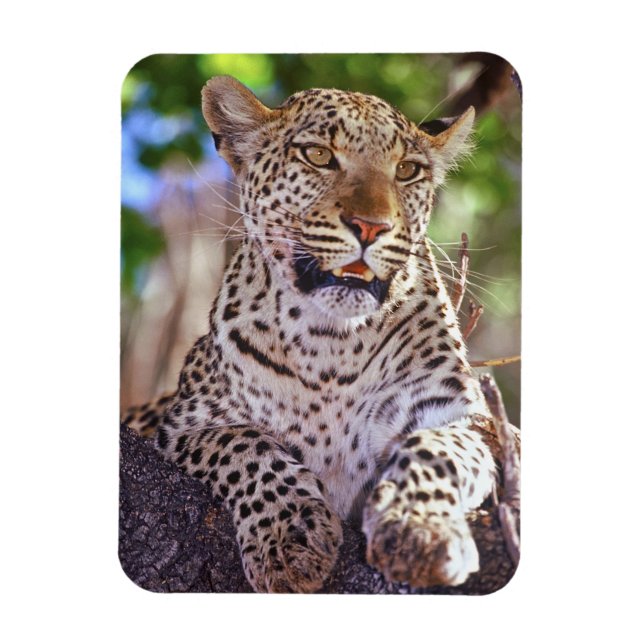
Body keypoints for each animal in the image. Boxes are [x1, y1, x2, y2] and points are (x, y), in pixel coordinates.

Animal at [122, 75, 499, 593]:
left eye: (407, 170)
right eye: (319, 155)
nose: (371, 227)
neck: (332, 343)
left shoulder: (462, 417)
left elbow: (434, 451)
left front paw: (417, 530)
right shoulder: (187, 425)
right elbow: (247, 447)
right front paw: (289, 537)